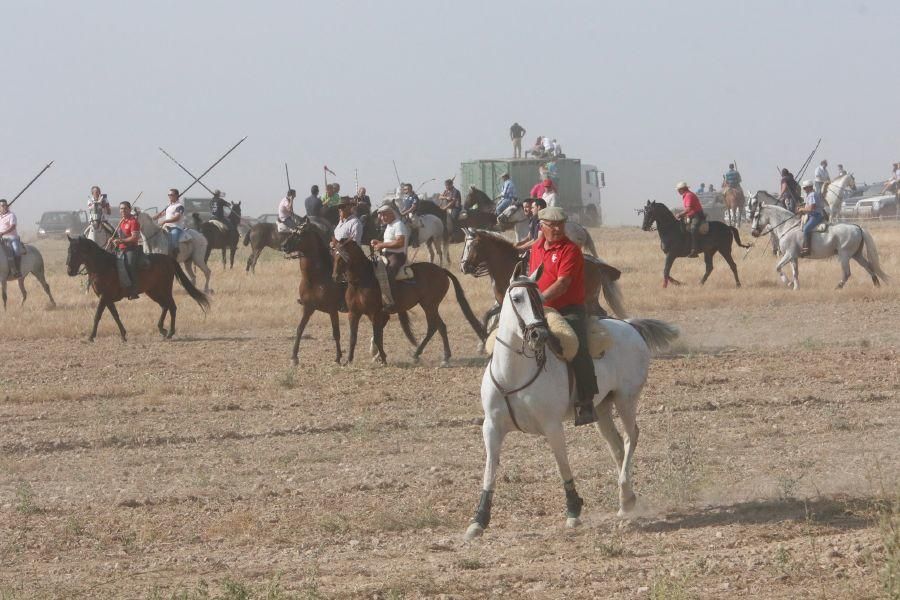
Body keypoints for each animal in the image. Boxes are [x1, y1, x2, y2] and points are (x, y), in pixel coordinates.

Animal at [66, 238, 210, 344]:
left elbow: (97, 315)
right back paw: (162, 329)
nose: (69, 271)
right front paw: (123, 335)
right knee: (165, 306)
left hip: (164, 289)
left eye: (75, 250)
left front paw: (91, 336)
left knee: (172, 307)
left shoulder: (104, 296)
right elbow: (115, 315)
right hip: (153, 292)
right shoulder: (107, 298)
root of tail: (168, 259)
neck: (103, 266)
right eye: (68, 250)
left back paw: (170, 332)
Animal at [330, 239, 486, 366]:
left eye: (342, 257)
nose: (335, 276)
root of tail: (441, 270)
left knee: (437, 326)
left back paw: (439, 356)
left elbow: (378, 335)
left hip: (430, 305)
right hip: (429, 306)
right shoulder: (354, 313)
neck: (362, 281)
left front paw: (383, 358)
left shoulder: (375, 314)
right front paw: (349, 360)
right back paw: (424, 354)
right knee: (437, 327)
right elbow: (354, 337)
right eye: (334, 256)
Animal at [458, 229, 624, 332]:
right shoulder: (502, 302)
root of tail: (596, 265)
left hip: (589, 300)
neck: (506, 267)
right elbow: (487, 316)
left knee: (600, 313)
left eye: (472, 245)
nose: (463, 267)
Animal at [464, 268, 676, 540]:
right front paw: (478, 520)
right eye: (518, 298)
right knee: (617, 445)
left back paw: (624, 494)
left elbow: (562, 464)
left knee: (631, 437)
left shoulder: (552, 426)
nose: (539, 334)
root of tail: (629, 325)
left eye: (539, 298)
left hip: (626, 400)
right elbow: (490, 471)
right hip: (602, 408)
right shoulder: (491, 427)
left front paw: (573, 511)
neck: (513, 374)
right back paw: (627, 500)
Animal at [748, 192, 888, 286]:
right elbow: (795, 273)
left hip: (844, 255)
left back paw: (838, 286)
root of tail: (857, 227)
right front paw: (796, 287)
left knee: (847, 273)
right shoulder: (793, 257)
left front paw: (788, 283)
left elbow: (778, 267)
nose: (753, 232)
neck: (787, 227)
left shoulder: (789, 254)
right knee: (869, 267)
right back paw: (876, 285)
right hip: (856, 255)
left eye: (756, 216)